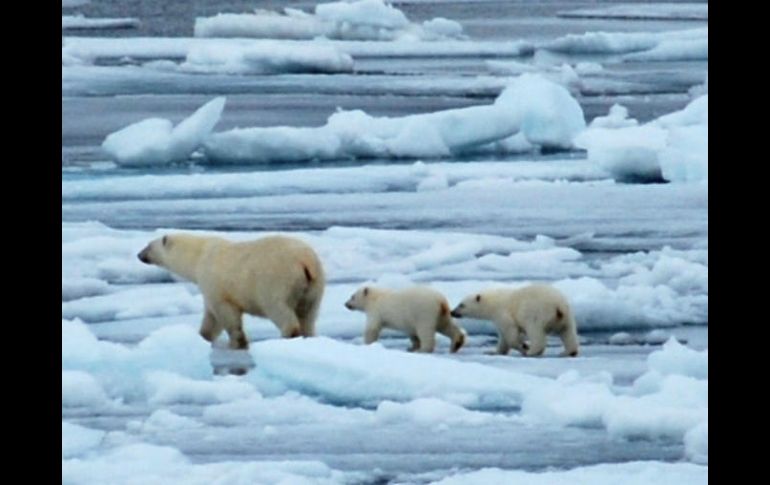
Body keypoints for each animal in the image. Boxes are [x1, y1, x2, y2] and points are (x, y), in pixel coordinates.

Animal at [136, 233, 322, 346]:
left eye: (148, 245)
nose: (139, 255)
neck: (198, 256)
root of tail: (306, 261)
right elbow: (211, 318)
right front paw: (203, 337)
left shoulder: (215, 285)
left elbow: (225, 316)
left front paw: (237, 341)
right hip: (314, 286)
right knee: (308, 315)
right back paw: (309, 336)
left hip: (276, 282)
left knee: (279, 309)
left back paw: (286, 336)